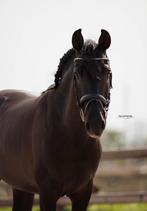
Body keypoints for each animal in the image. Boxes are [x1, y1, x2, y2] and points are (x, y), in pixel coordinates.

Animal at [0, 28, 111, 211]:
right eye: (77, 74)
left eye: (107, 71)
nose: (95, 123)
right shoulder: (47, 193)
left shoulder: (83, 194)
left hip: (21, 187)